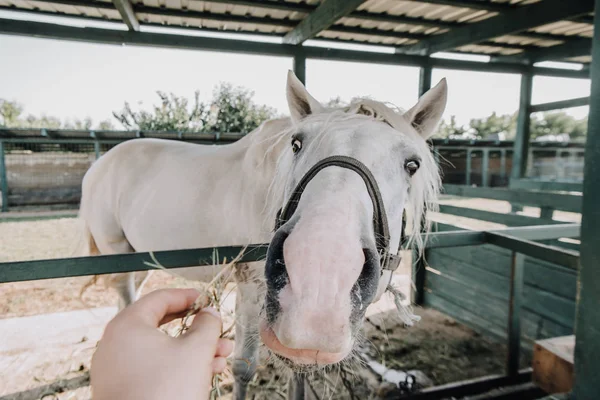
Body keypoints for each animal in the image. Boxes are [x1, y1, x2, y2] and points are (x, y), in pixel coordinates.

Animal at [77, 70, 446, 398]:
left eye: (411, 165)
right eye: (297, 143)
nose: (318, 290)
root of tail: (99, 165)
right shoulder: (251, 286)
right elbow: (243, 367)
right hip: (117, 255)